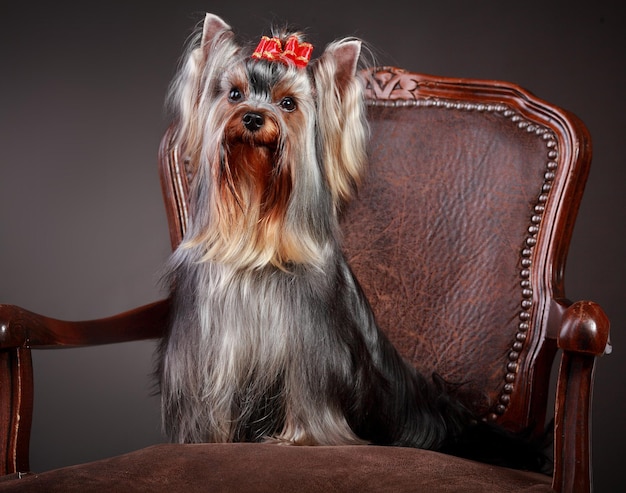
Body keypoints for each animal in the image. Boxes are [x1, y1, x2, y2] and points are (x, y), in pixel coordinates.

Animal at [157, 13, 544, 470]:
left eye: (288, 104)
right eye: (234, 94)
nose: (252, 117)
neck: (257, 238)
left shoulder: (311, 347)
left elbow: (309, 396)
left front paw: (300, 439)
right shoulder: (211, 348)